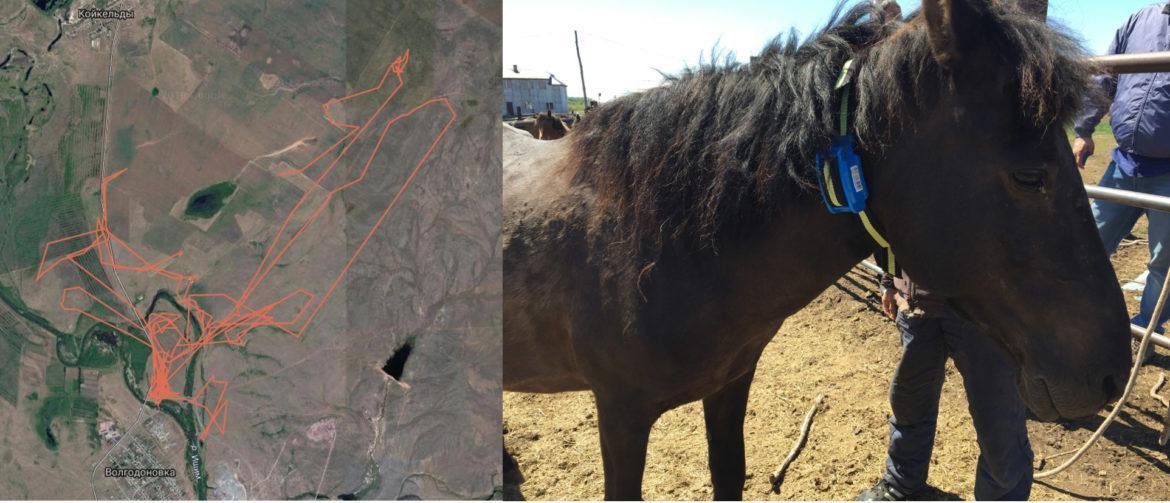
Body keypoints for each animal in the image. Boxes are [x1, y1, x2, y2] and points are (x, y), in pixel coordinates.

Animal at [502, 0, 1132, 499]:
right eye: (1029, 176)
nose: (1111, 375)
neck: (658, 245)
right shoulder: (621, 417)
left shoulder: (729, 387)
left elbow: (728, 475)